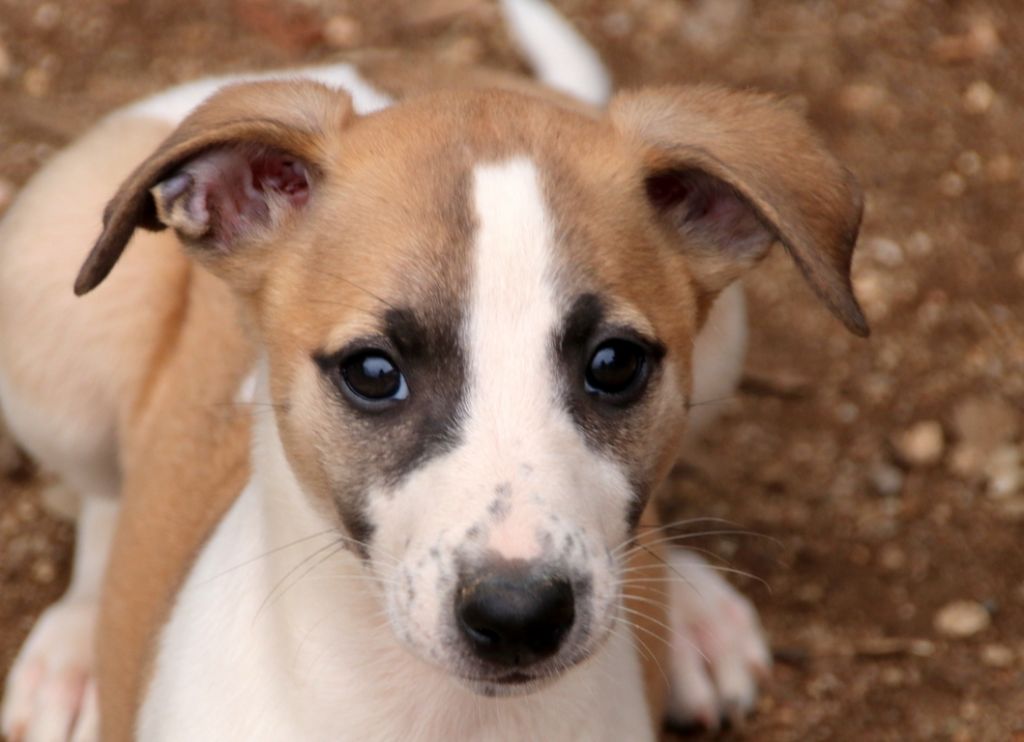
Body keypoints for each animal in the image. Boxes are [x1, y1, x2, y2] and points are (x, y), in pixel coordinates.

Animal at [0, 1, 867, 739]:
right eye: (372, 372)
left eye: (616, 363)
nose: (518, 617)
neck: (448, 717)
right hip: (49, 303)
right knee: (102, 498)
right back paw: (75, 654)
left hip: (727, 345)